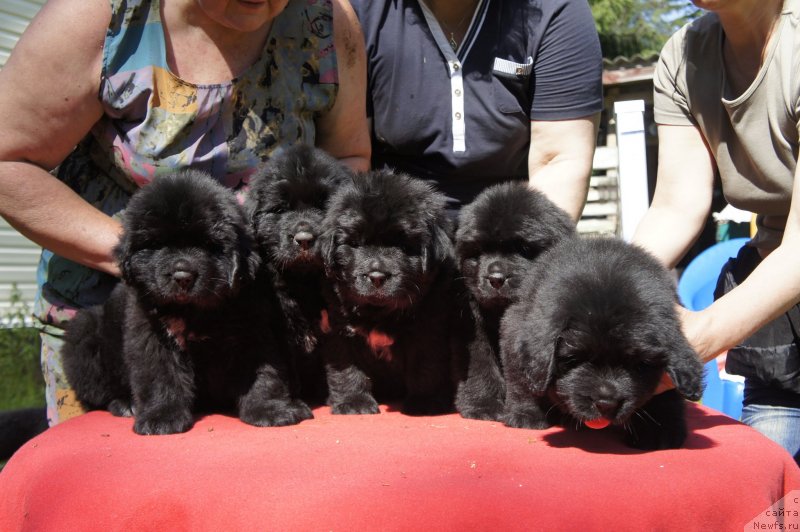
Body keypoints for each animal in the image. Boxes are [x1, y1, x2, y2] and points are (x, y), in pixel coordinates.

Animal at [63, 172, 312, 434]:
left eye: (208, 245)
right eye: (157, 244)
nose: (182, 276)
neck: (196, 310)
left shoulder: (252, 331)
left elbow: (263, 372)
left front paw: (271, 410)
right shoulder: (151, 334)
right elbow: (161, 375)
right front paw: (161, 418)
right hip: (84, 334)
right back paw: (124, 404)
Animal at [318, 170, 462, 416]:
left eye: (403, 246)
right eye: (355, 243)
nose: (377, 276)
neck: (380, 312)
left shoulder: (427, 329)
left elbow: (426, 367)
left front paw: (425, 402)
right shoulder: (340, 329)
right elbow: (347, 369)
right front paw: (354, 403)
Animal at [450, 183, 576, 420]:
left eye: (523, 249)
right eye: (478, 251)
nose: (496, 278)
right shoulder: (473, 330)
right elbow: (480, 366)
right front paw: (483, 406)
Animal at [504, 237, 704, 448]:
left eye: (640, 365)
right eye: (573, 359)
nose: (606, 404)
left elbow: (666, 395)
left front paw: (658, 431)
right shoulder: (514, 327)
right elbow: (522, 381)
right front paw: (527, 414)